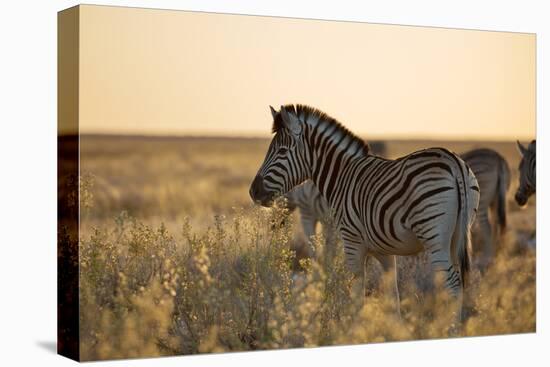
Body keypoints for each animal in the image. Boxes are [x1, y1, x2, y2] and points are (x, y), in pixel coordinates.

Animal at [249, 105, 478, 318]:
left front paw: (353, 327)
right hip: (457, 236)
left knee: (453, 285)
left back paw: (448, 328)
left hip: (434, 238)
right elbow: (392, 294)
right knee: (459, 284)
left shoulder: (352, 241)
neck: (341, 176)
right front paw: (394, 328)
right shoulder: (384, 249)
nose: (253, 191)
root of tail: (454, 162)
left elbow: (357, 294)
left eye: (281, 152)